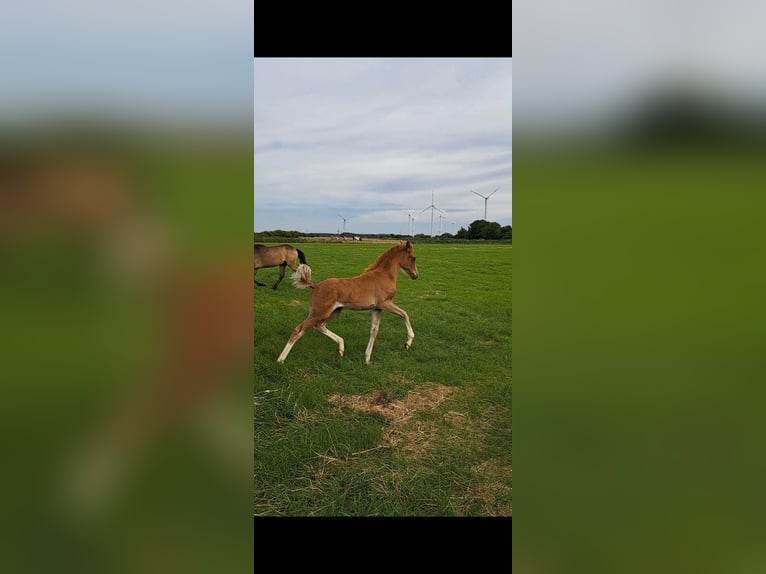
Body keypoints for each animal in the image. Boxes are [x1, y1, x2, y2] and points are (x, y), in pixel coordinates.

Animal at [276, 242, 420, 366]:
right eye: (413, 258)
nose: (415, 276)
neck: (384, 275)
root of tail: (315, 285)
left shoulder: (377, 308)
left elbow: (374, 330)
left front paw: (367, 359)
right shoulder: (385, 303)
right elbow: (404, 314)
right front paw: (408, 342)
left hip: (334, 311)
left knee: (320, 326)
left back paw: (341, 347)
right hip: (319, 313)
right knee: (298, 330)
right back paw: (280, 360)